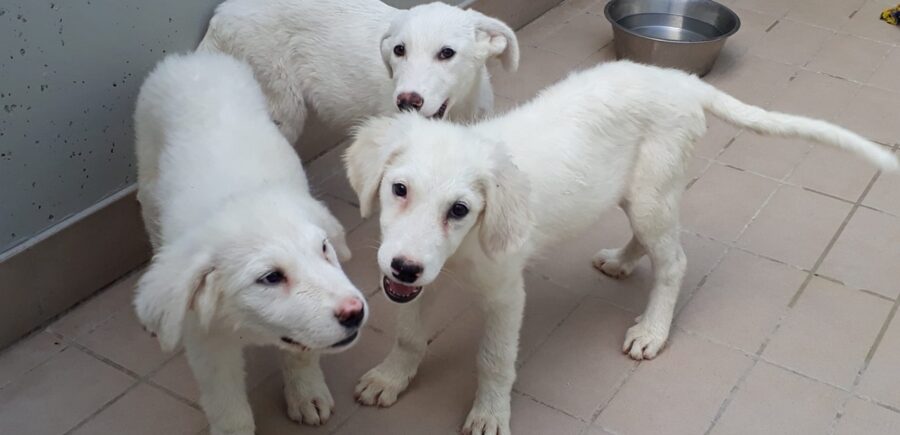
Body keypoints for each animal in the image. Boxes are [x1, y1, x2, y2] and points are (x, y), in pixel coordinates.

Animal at [131, 52, 370, 435]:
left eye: (323, 249)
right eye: (270, 278)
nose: (355, 311)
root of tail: (194, 58)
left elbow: (301, 353)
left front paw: (307, 393)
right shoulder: (206, 342)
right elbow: (226, 405)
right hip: (149, 174)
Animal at [342, 58, 892, 435]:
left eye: (459, 210)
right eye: (398, 189)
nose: (405, 267)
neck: (461, 251)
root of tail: (679, 79)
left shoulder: (504, 295)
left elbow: (494, 360)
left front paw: (489, 414)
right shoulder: (417, 282)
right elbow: (409, 335)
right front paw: (390, 378)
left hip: (653, 193)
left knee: (674, 261)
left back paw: (652, 330)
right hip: (637, 194)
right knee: (647, 242)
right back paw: (622, 262)